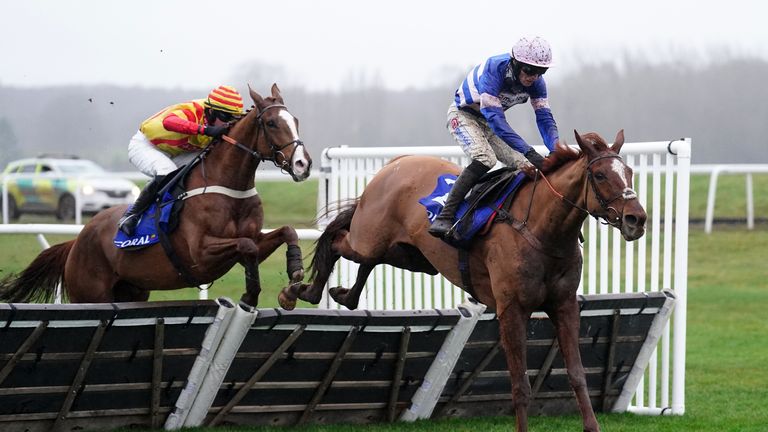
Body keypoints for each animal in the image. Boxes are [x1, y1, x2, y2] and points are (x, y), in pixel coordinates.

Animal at [0, 84, 312, 306]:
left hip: (132, 290)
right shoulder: (200, 254)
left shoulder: (253, 241)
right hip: (89, 294)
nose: (303, 164)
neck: (228, 185)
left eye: (296, 120)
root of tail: (76, 241)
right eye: (271, 123)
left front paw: (294, 280)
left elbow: (285, 232)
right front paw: (250, 295)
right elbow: (246, 245)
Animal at [280, 130, 644, 430]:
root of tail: (395, 164)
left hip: (409, 256)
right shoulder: (511, 309)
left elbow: (578, 375)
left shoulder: (564, 305)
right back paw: (299, 290)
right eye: (600, 175)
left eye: (629, 173)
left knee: (364, 258)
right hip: (369, 239)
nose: (636, 219)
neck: (542, 229)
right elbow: (520, 386)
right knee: (338, 239)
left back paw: (345, 296)